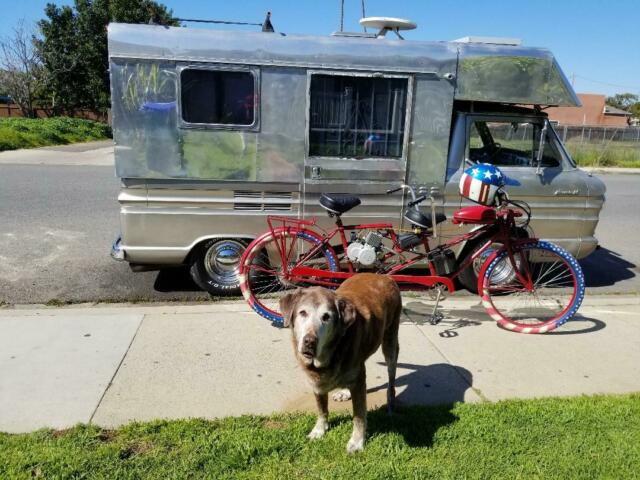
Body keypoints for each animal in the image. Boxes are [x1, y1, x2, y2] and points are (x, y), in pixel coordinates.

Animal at [278, 274, 400, 454]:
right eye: (302, 313)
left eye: (326, 317)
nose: (309, 342)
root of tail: (383, 275)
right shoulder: (315, 381)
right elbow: (322, 408)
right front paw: (319, 430)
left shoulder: (358, 382)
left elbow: (359, 415)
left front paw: (357, 441)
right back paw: (344, 391)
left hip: (390, 342)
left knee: (391, 376)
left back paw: (391, 402)